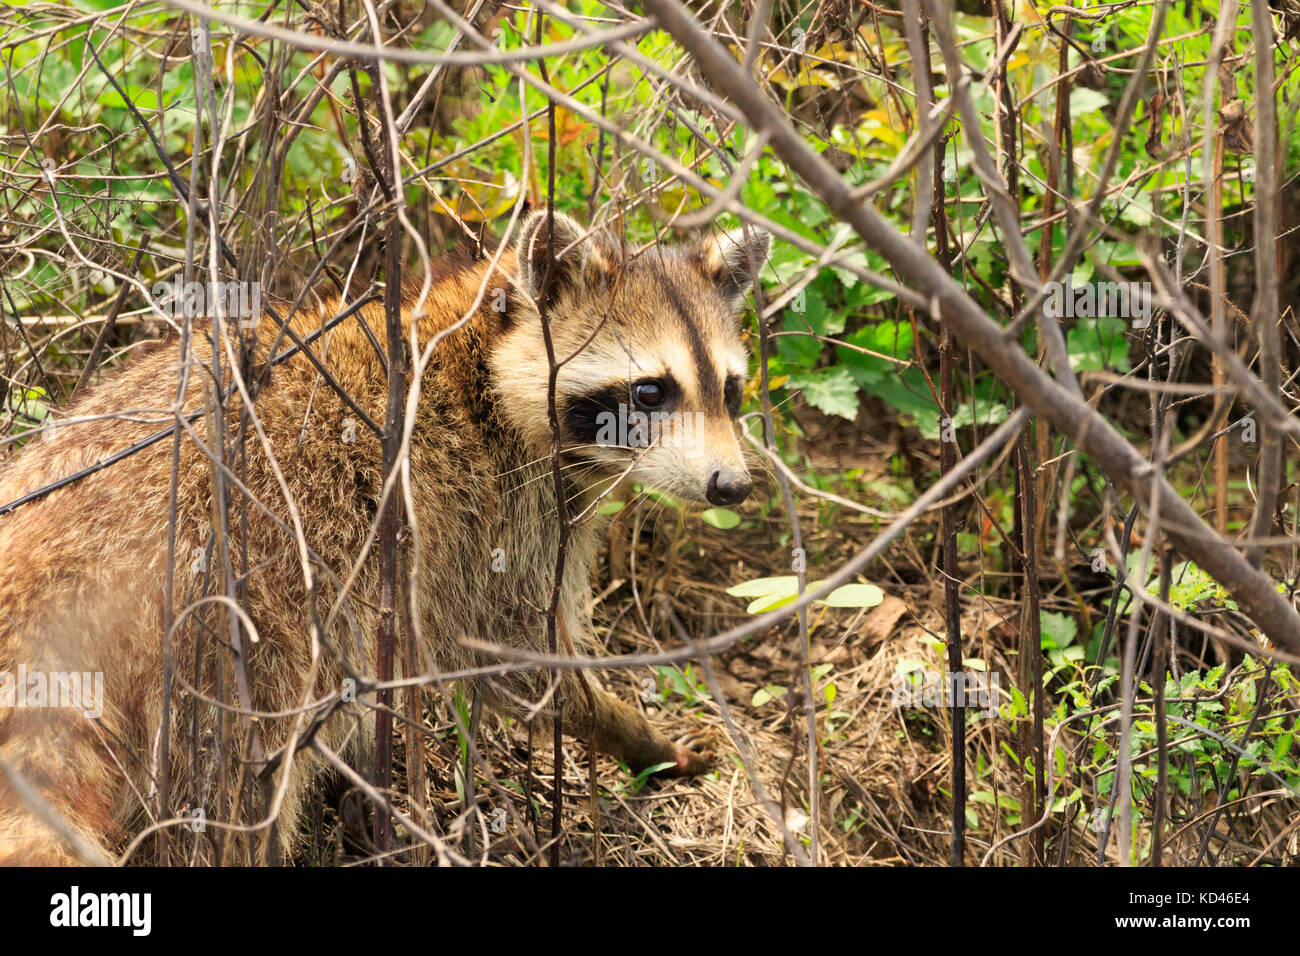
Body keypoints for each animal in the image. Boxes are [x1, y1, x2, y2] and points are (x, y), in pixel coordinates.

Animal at [0, 210, 769, 865]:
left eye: (730, 390)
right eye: (650, 392)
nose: (732, 486)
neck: (483, 349)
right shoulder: (497, 509)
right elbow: (507, 652)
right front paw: (626, 729)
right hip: (226, 627)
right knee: (232, 789)